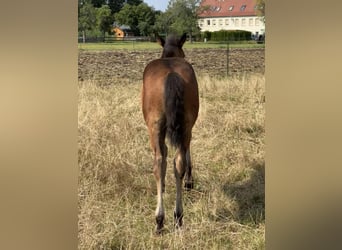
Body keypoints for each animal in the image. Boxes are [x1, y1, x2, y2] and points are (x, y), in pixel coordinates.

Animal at [142, 33, 199, 234]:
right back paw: (178, 216)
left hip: (155, 127)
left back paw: (160, 220)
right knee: (178, 162)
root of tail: (170, 74)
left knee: (159, 162)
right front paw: (188, 182)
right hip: (185, 125)